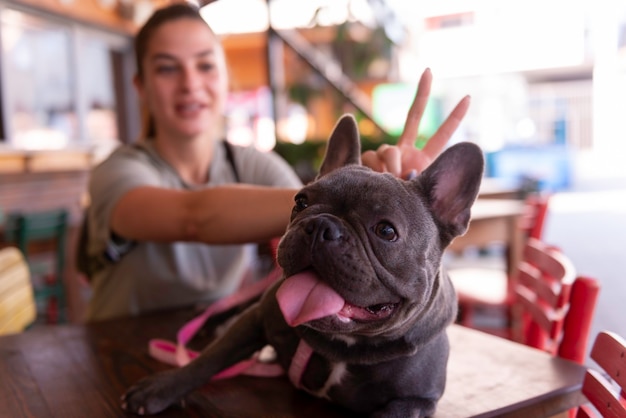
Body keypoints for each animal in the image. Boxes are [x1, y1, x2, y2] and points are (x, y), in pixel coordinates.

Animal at [122, 114, 482, 418]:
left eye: (386, 231)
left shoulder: (414, 402)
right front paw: (160, 388)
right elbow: (210, 359)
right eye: (301, 201)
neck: (346, 346)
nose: (321, 225)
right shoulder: (257, 318)